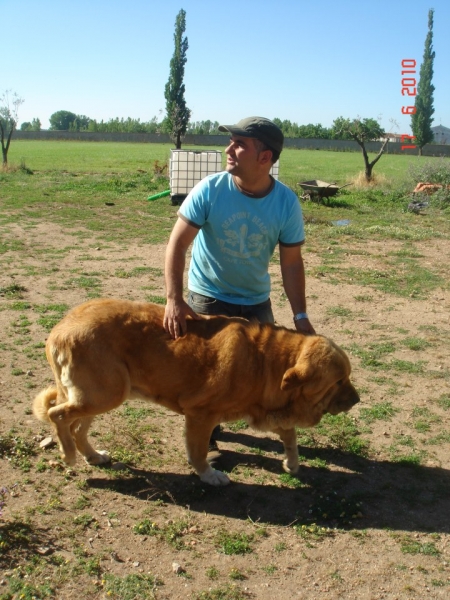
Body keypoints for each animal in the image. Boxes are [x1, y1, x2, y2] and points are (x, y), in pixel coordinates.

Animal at [33, 298, 360, 486]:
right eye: (338, 381)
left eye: (347, 376)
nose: (358, 399)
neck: (268, 362)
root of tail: (59, 329)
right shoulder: (201, 415)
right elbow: (200, 452)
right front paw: (209, 475)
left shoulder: (270, 412)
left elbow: (290, 437)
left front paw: (292, 463)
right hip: (104, 395)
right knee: (57, 415)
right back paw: (69, 456)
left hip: (104, 396)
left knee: (77, 428)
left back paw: (91, 456)